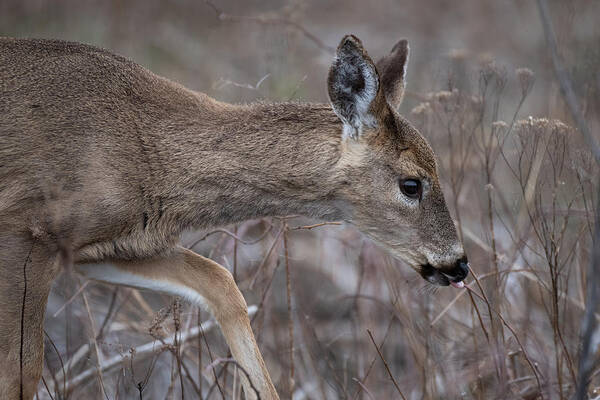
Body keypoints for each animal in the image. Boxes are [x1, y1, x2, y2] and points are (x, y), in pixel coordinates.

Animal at [0, 35, 468, 400]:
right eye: (412, 184)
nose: (459, 263)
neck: (149, 155)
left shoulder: (103, 247)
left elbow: (222, 282)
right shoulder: (26, 230)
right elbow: (21, 372)